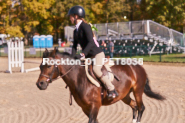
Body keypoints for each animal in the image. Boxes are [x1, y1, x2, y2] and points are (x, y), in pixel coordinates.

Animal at [35, 48, 165, 123]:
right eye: (40, 66)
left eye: (49, 66)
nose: (40, 84)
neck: (79, 78)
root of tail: (138, 66)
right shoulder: (85, 108)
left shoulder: (95, 106)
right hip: (124, 95)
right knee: (134, 106)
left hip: (138, 90)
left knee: (141, 107)